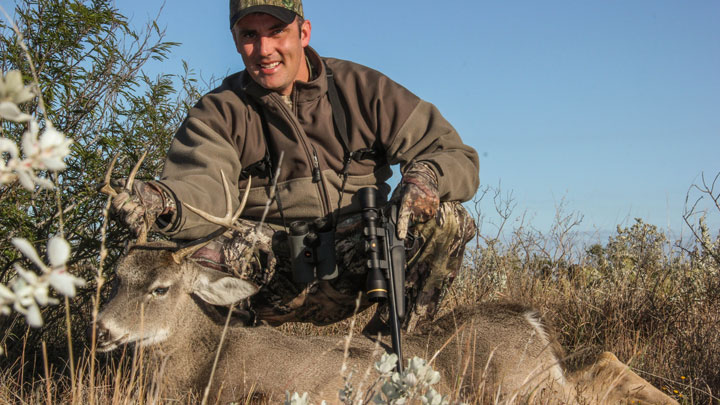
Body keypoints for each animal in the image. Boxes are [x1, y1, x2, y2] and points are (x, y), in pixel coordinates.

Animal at [94, 166, 676, 400]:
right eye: (115, 279)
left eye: (161, 288)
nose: (103, 329)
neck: (200, 361)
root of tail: (528, 318)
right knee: (601, 363)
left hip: (520, 387)